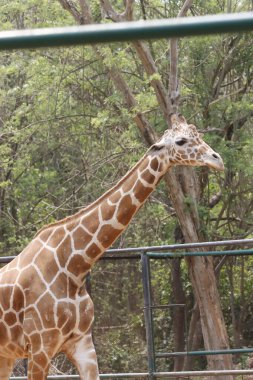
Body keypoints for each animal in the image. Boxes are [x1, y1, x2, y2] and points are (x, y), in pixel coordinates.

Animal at [0, 113, 223, 380]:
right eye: (180, 141)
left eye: (197, 133)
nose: (217, 159)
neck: (75, 265)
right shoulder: (40, 347)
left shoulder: (83, 344)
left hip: (6, 355)